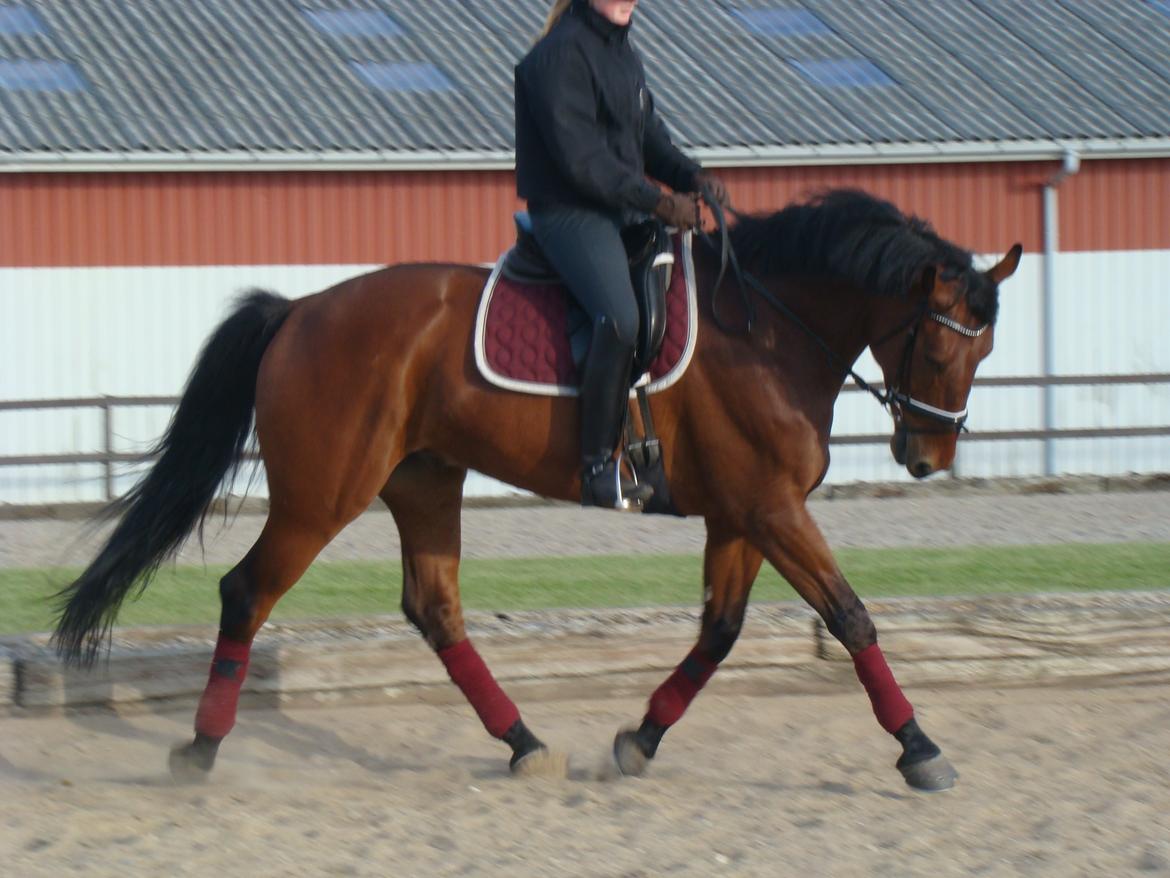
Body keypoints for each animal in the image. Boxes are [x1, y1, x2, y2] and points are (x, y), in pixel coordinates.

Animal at [54, 189, 1020, 796]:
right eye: (941, 347)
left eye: (984, 351)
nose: (927, 456)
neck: (769, 330)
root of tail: (300, 310)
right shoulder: (772, 510)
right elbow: (851, 616)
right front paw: (920, 749)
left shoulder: (745, 513)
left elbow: (720, 631)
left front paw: (638, 740)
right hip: (321, 498)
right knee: (247, 593)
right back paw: (201, 749)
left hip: (424, 483)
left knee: (435, 609)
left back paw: (524, 744)